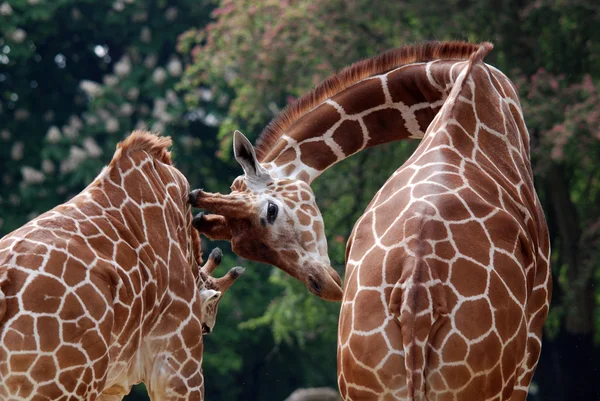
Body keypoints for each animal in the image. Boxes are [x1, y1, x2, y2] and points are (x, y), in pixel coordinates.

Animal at [191, 41, 552, 400]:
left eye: (271, 211)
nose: (325, 288)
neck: (455, 80)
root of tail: (417, 292)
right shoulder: (534, 328)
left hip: (365, 378)